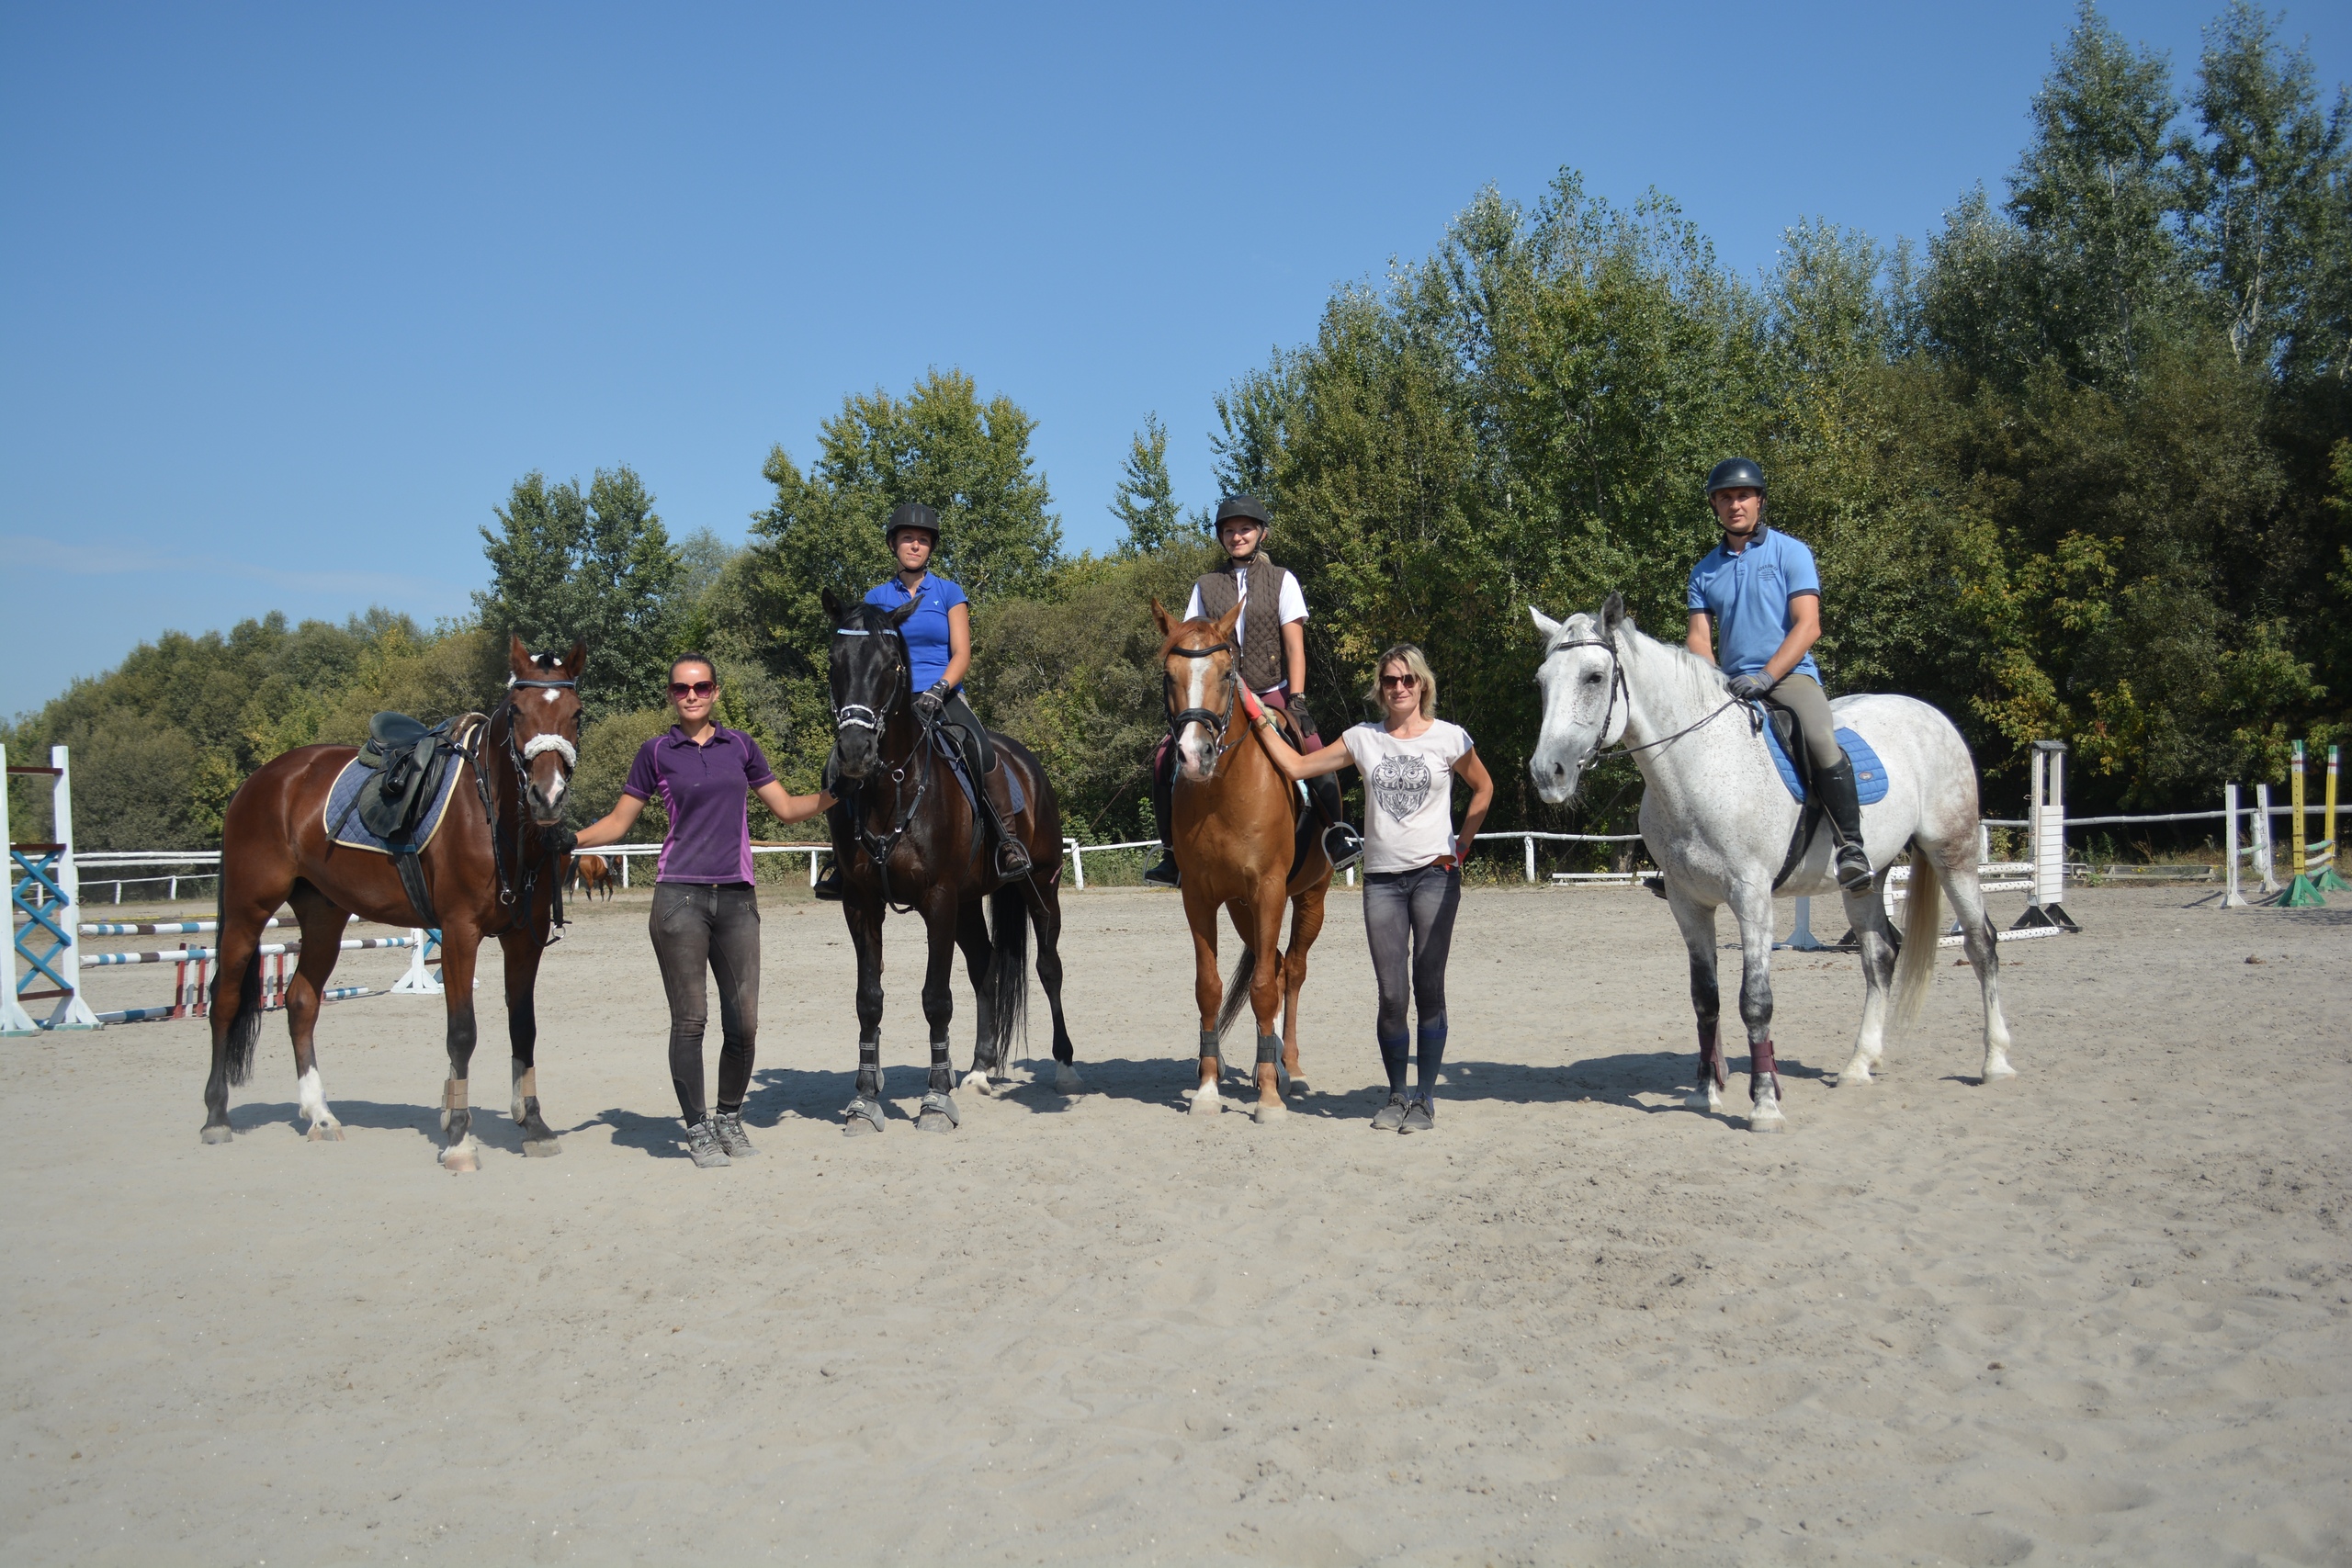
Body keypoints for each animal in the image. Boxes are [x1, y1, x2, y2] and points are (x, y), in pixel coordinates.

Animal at [206, 634, 588, 1166]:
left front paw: (533, 1124)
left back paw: (319, 1114)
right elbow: (462, 1032)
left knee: (301, 1000)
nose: (546, 796)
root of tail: (260, 780)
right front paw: (458, 1138)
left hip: (323, 917)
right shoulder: (459, 933)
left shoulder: (521, 941)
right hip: (247, 913)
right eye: (516, 712)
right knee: (223, 1001)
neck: (492, 816)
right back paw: (216, 1117)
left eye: (576, 713)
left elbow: (524, 1028)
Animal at [823, 587, 1077, 1142]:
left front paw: (935, 1100)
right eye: (834, 662)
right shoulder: (860, 902)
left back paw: (1064, 1065)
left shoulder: (936, 898)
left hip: (1039, 886)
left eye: (892, 663)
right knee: (985, 967)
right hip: (966, 903)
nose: (855, 751)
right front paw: (864, 1101)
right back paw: (980, 1069)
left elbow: (936, 997)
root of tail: (1027, 761)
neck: (892, 787)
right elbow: (868, 998)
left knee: (1049, 966)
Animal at [1152, 594, 1336, 1123]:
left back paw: (1288, 1070)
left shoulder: (1270, 890)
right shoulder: (1200, 897)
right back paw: (1264, 1065)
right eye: (1168, 676)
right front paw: (1208, 1089)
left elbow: (1263, 989)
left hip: (1309, 898)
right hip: (1240, 908)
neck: (1221, 792)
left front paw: (1271, 1099)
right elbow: (1210, 987)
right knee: (1273, 965)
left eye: (1227, 672)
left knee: (1291, 972)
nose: (1194, 755)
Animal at [1523, 594, 2022, 1133]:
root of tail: (1930, 714)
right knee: (1879, 956)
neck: (1701, 764)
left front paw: (1764, 1103)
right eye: (1542, 682)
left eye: (1594, 677)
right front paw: (1705, 1092)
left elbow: (1755, 1002)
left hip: (1954, 853)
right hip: (1867, 880)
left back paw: (1995, 1062)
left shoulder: (1752, 899)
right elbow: (1706, 998)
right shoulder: (1687, 903)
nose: (1547, 773)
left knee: (1980, 944)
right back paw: (1858, 1065)